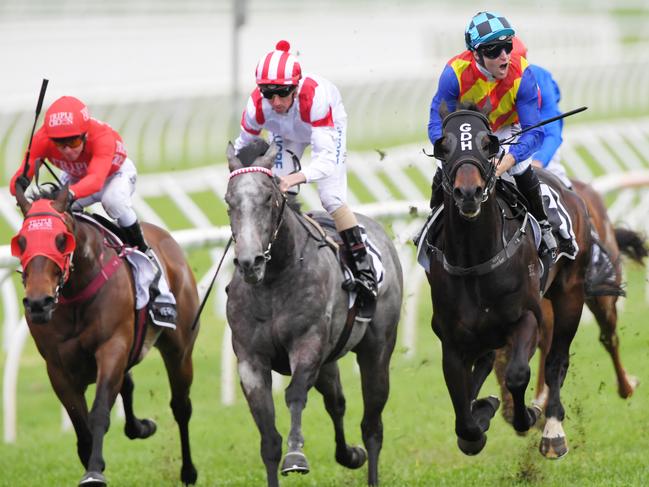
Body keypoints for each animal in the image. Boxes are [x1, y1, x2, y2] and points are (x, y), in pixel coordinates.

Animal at [10, 185, 197, 486]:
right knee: (128, 385)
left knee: (181, 406)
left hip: (179, 350)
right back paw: (140, 427)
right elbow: (81, 425)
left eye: (61, 240)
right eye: (22, 242)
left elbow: (98, 414)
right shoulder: (58, 369)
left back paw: (188, 471)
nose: (39, 303)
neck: (75, 292)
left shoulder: (112, 347)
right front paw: (93, 461)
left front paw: (94, 471)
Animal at [225, 139, 402, 486]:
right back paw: (350, 454)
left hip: (376, 350)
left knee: (372, 425)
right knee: (337, 403)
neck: (273, 281)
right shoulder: (250, 359)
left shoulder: (307, 343)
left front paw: (296, 455)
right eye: (229, 201)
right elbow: (268, 436)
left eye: (268, 198)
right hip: (329, 362)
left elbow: (294, 394)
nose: (250, 262)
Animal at [422, 105, 596, 460]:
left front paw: (526, 414)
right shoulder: (452, 339)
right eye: (443, 145)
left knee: (557, 359)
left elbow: (517, 375)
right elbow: (462, 412)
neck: (474, 259)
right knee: (487, 361)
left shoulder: (527, 316)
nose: (469, 193)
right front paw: (480, 416)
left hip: (570, 293)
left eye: (488, 144)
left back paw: (553, 430)